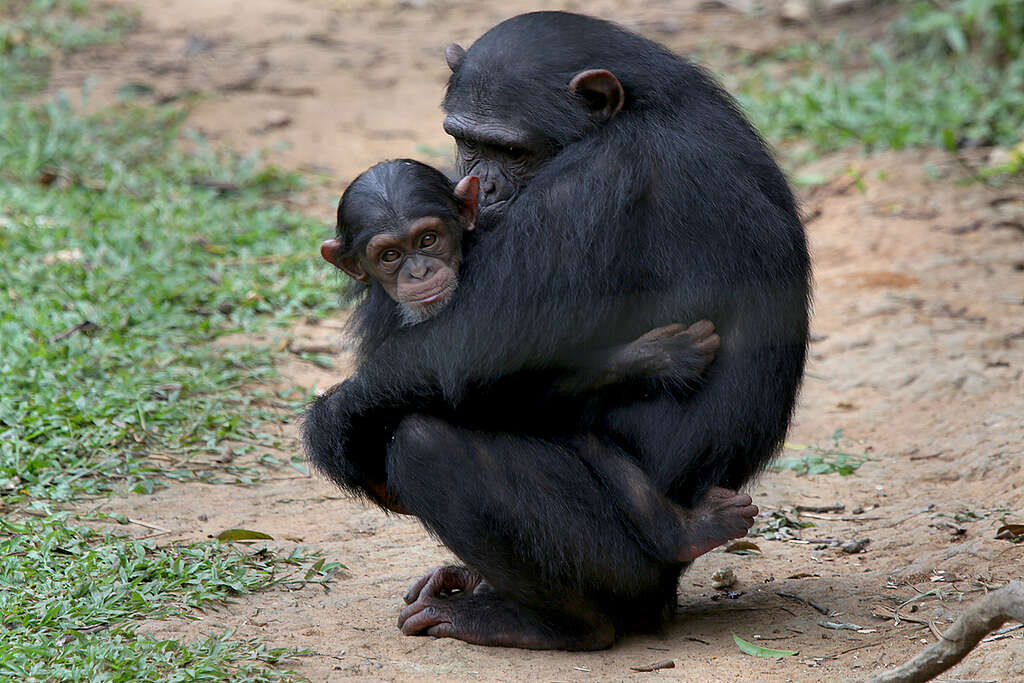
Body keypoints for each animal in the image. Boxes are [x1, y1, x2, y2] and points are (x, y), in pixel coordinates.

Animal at [303, 12, 806, 651]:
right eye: (466, 140)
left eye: (512, 150)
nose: (481, 185)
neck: (644, 106)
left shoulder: (598, 176)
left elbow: (473, 353)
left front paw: (332, 427)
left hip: (626, 571)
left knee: (427, 442)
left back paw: (549, 620)